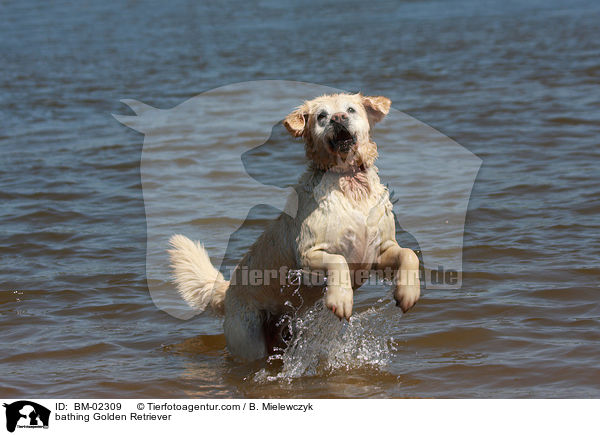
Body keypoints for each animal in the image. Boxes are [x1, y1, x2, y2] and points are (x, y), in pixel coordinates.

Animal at [169, 93, 420, 362]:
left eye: (350, 110)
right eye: (322, 116)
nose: (338, 118)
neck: (349, 182)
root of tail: (226, 294)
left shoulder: (379, 252)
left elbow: (409, 254)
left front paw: (408, 293)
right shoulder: (308, 256)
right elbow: (338, 261)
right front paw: (341, 299)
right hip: (248, 337)